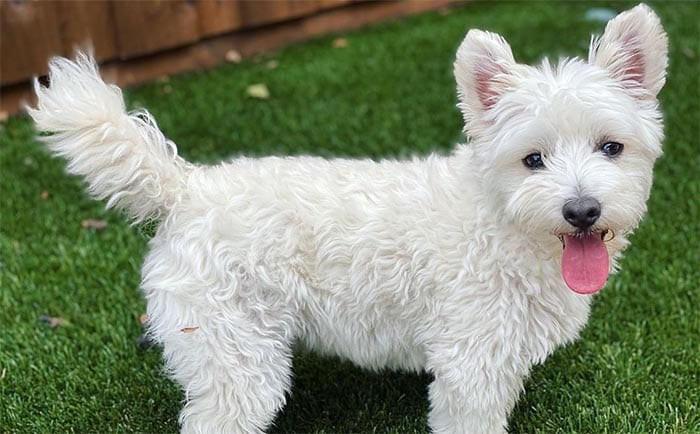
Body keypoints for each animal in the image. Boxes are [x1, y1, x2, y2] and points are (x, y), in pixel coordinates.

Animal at [31, 4, 668, 434]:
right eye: (533, 159)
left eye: (611, 147)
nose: (582, 210)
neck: (503, 225)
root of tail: (185, 188)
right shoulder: (469, 365)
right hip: (236, 361)